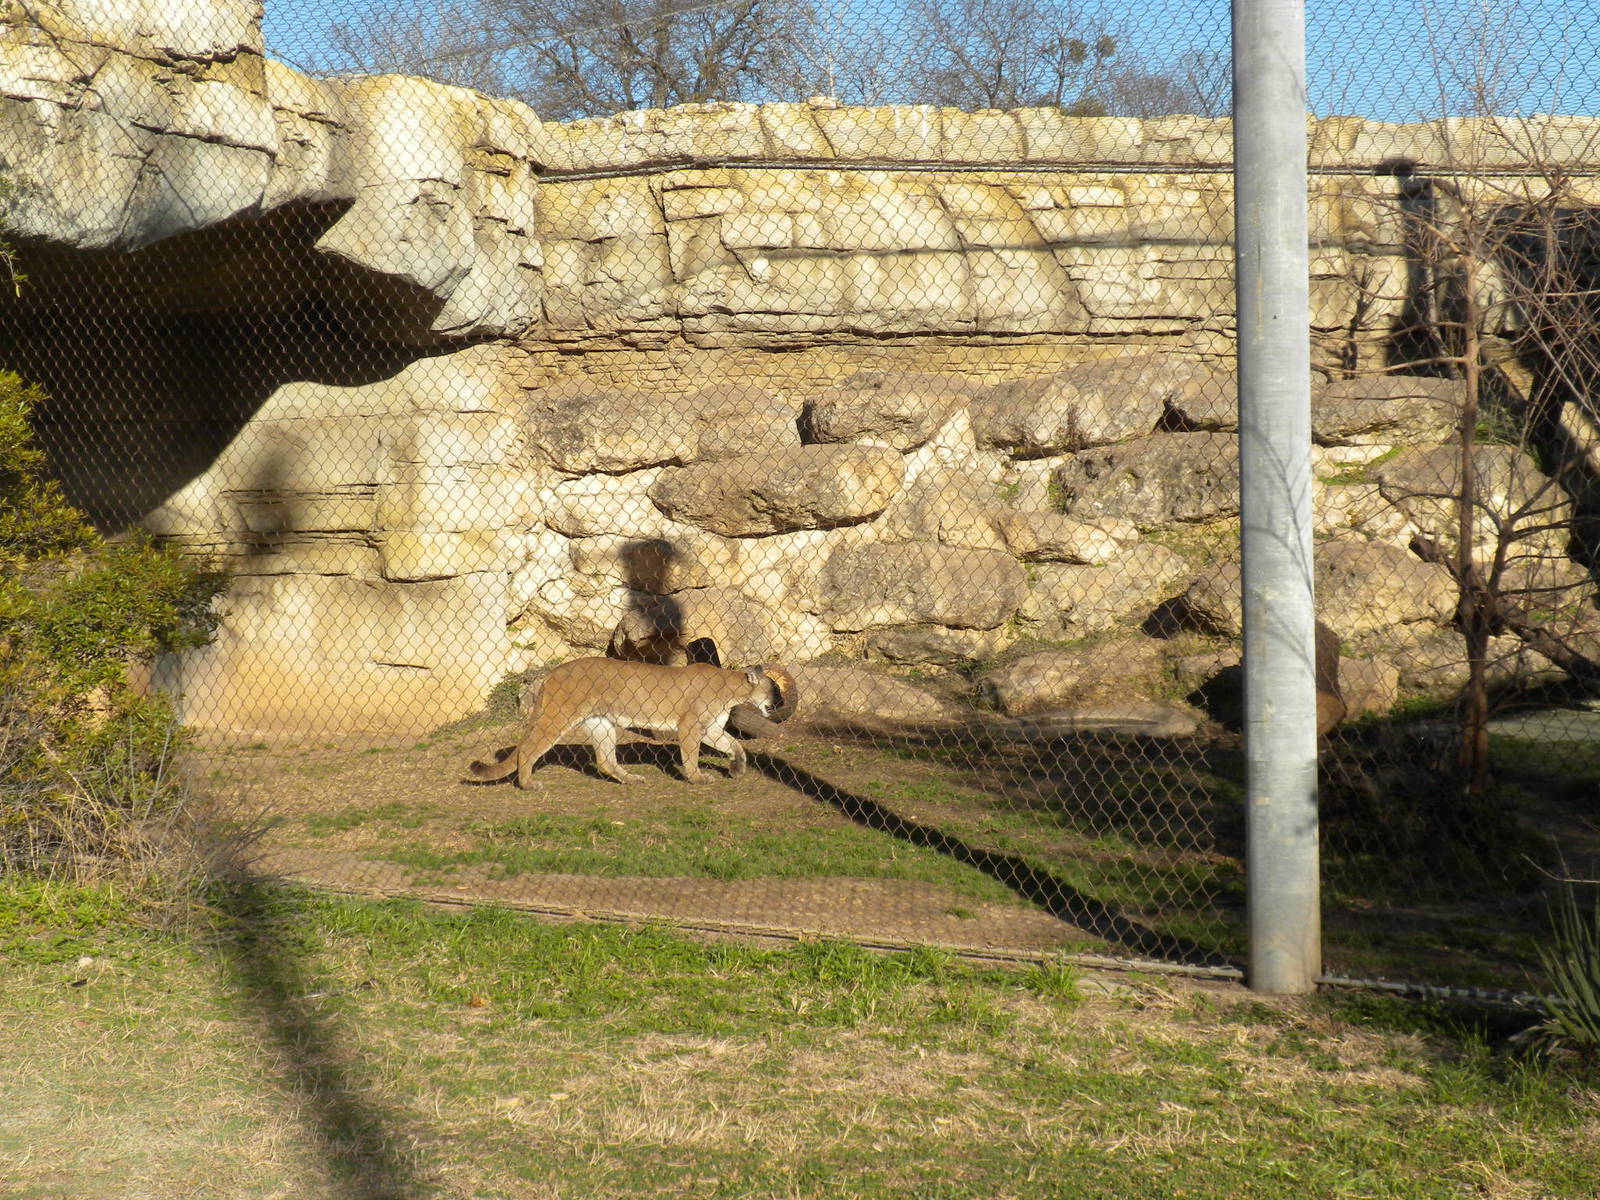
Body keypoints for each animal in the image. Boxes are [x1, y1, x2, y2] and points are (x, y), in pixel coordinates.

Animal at [466, 658, 797, 787]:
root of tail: (551, 673)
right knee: (528, 749)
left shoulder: (712, 728)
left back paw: (631, 779)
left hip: (600, 723)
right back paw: (529, 784)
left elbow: (735, 745)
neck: (730, 687)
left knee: (604, 760)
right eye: (773, 689)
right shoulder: (691, 725)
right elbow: (690, 755)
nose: (781, 701)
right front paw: (697, 778)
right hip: (558, 717)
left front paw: (737, 769)